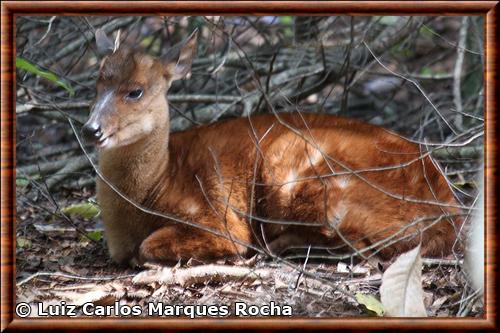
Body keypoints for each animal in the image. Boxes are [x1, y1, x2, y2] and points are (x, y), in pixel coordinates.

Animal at [83, 29, 464, 268]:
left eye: (135, 91)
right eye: (96, 84)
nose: (91, 129)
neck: (156, 184)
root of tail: (449, 217)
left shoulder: (215, 218)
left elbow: (150, 247)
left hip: (306, 180)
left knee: (359, 247)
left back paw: (273, 248)